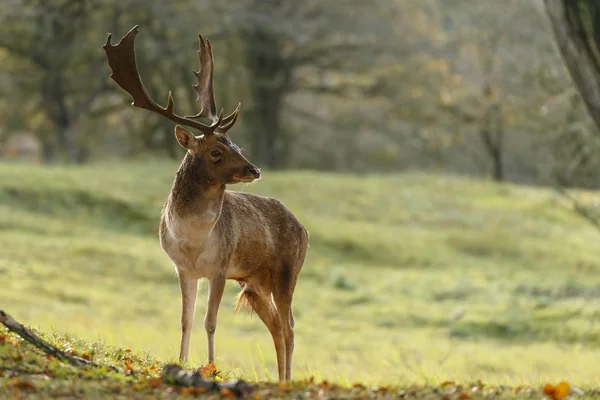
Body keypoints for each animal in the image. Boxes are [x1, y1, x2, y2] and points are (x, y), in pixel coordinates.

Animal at [102, 25, 308, 382]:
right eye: (216, 151)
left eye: (236, 144)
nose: (254, 169)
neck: (192, 239)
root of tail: (305, 230)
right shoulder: (183, 269)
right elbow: (185, 320)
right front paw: (182, 361)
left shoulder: (220, 267)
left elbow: (210, 321)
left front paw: (211, 366)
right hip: (255, 281)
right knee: (277, 328)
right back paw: (281, 377)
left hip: (286, 270)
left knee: (290, 327)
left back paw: (287, 380)